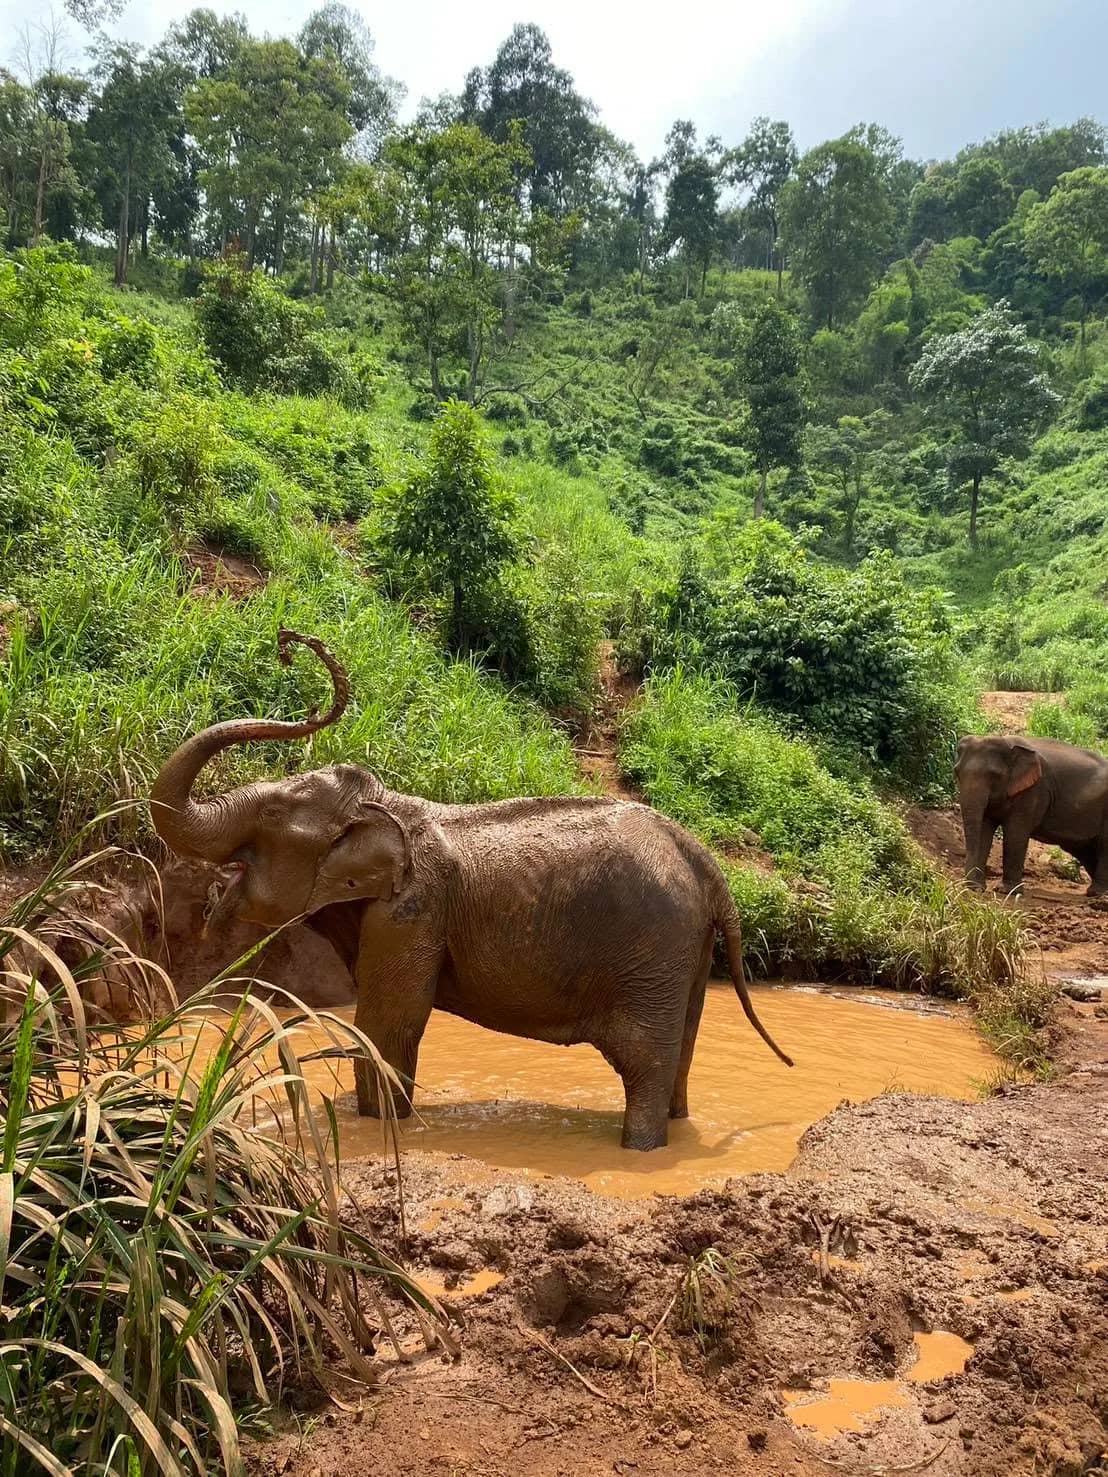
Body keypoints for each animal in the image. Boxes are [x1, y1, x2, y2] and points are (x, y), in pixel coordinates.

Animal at [150, 629, 793, 1151]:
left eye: (272, 814)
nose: (289, 643)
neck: (388, 805)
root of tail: (704, 860)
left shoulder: (413, 911)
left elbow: (389, 1023)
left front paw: (381, 1128)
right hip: (684, 955)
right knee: (679, 1059)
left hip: (653, 953)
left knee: (645, 1065)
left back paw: (639, 1150)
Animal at [955, 733, 1108, 896]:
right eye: (956, 772)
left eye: (994, 775)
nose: (974, 888)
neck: (1007, 742)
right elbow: (984, 830)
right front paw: (976, 887)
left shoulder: (1033, 792)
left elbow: (1015, 833)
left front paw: (1007, 891)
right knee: (1086, 850)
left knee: (1104, 845)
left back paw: (1095, 893)